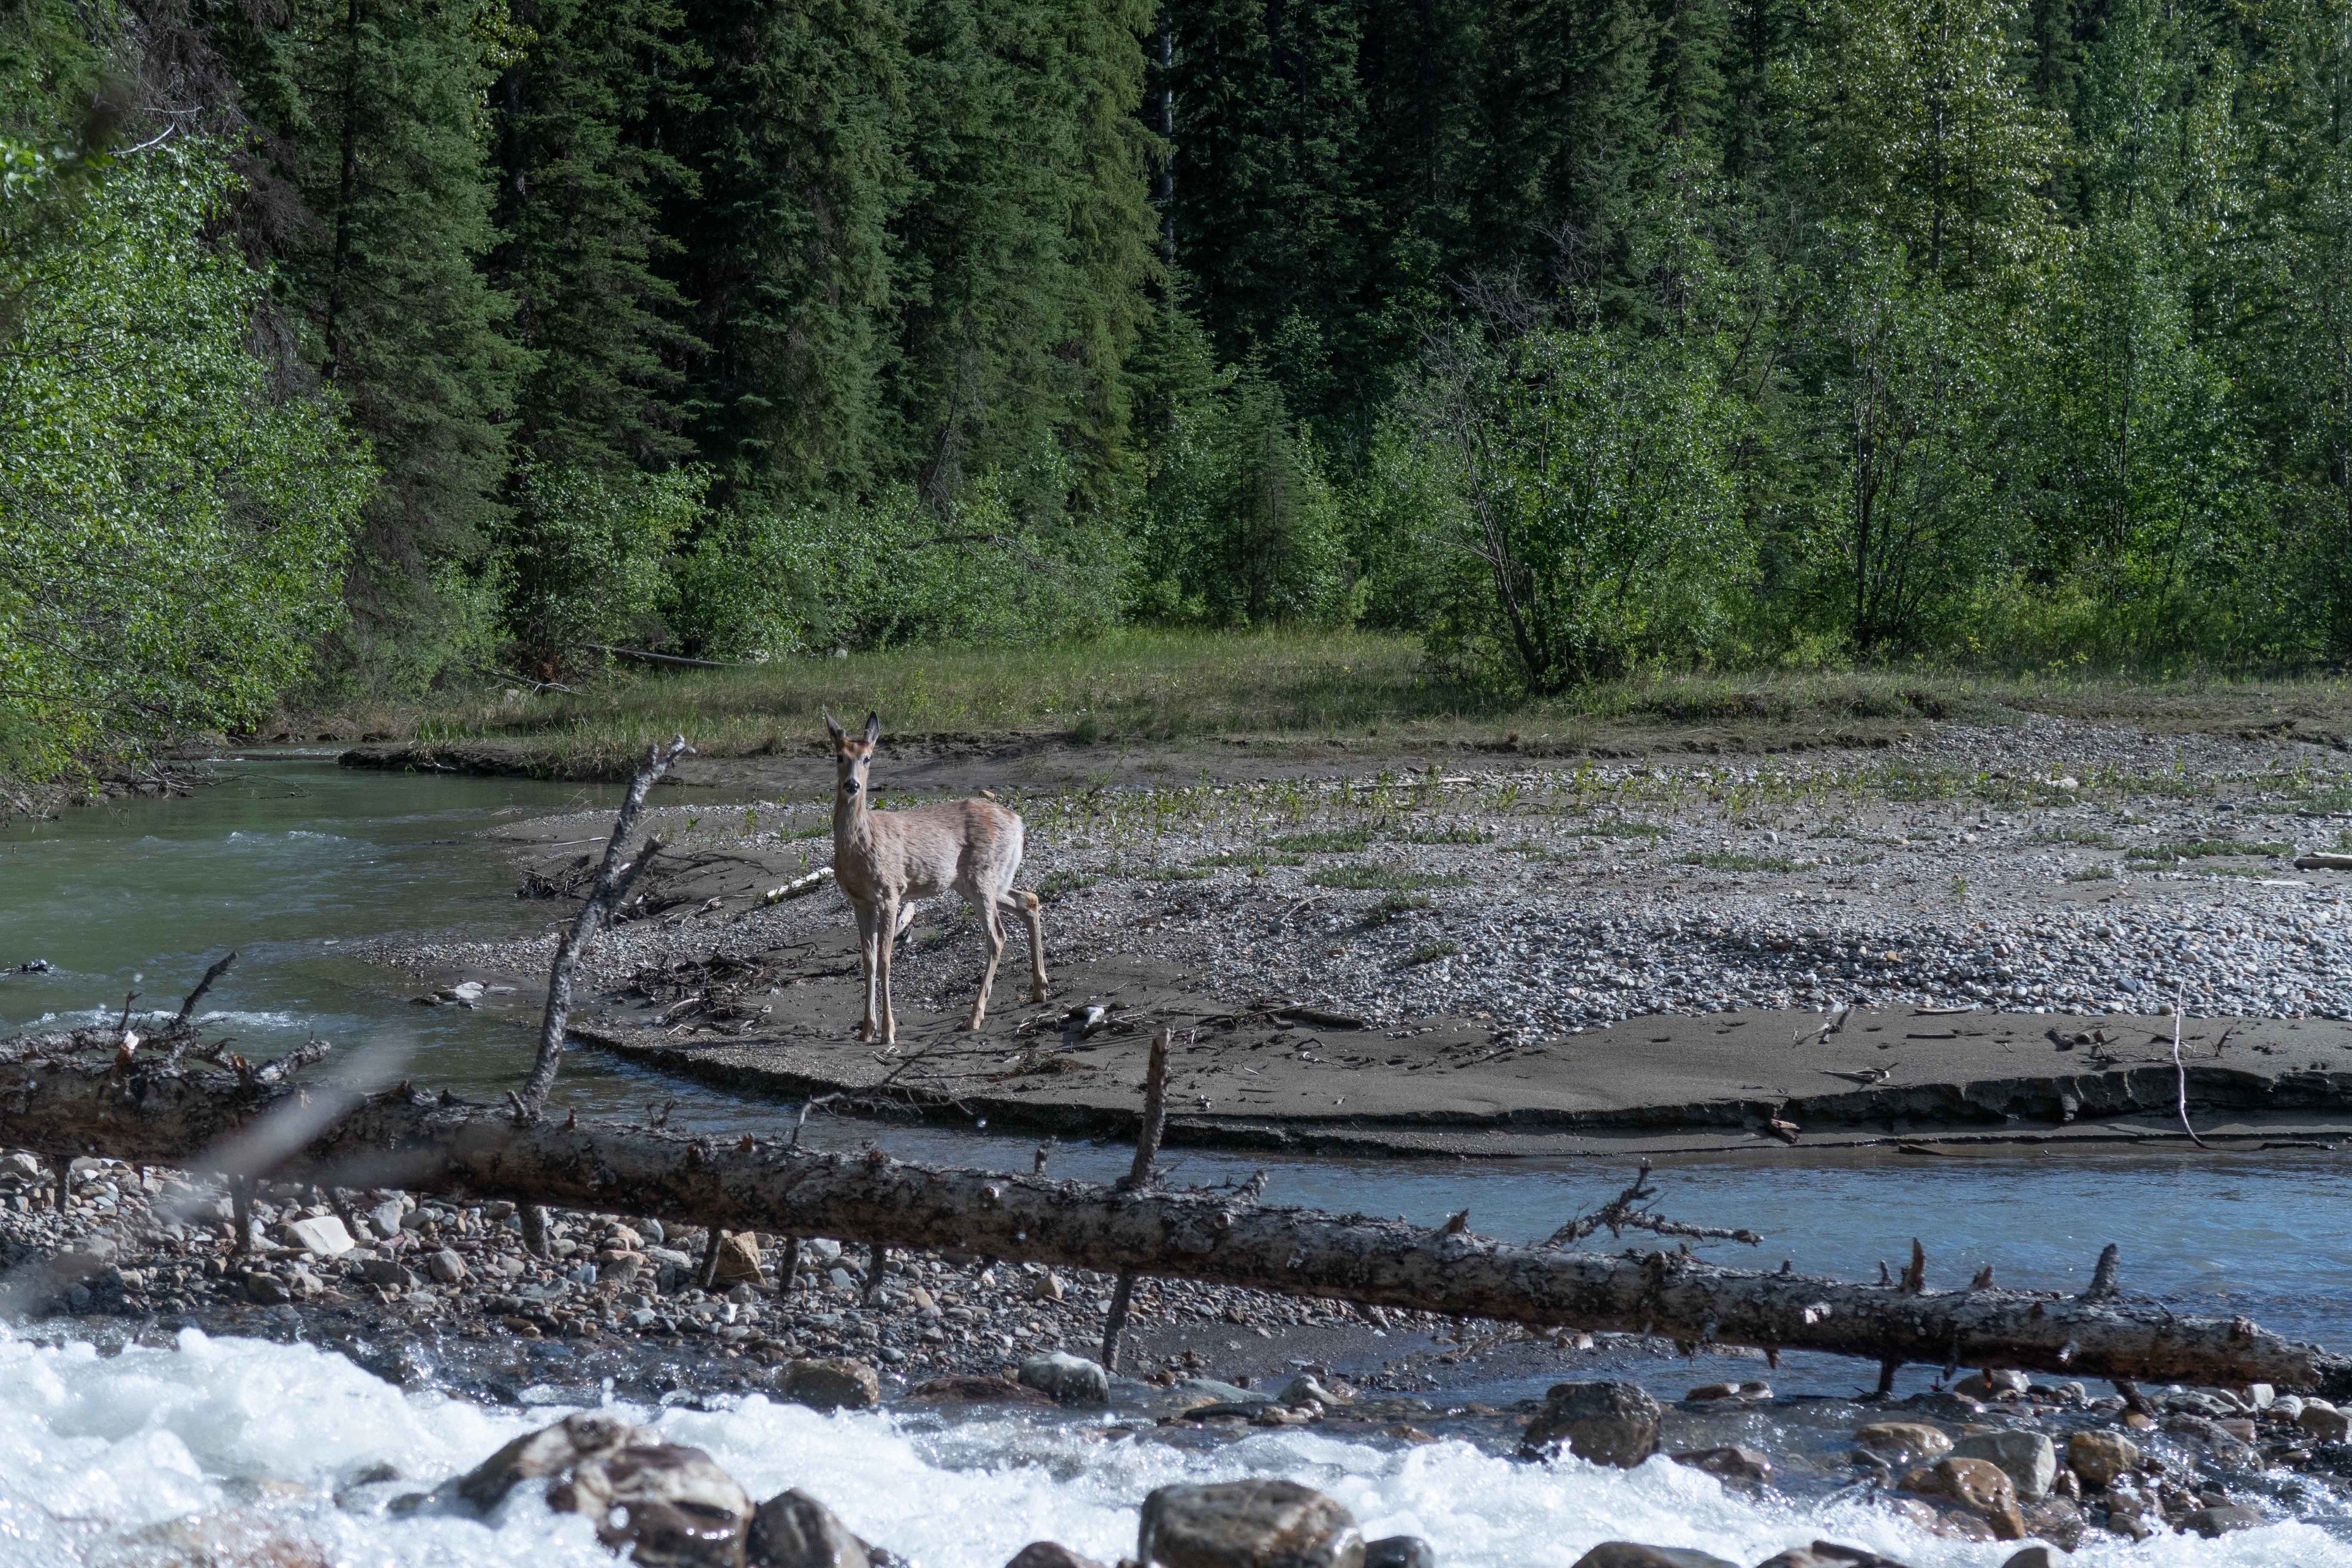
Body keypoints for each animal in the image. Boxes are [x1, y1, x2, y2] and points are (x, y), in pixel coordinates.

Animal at [825, 710, 1047, 1046]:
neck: (862, 843)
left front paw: (888, 1031)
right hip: (980, 881)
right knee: (1029, 900)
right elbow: (868, 959)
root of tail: (1019, 823)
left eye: (868, 758)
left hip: (982, 877)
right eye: (839, 756)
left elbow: (885, 958)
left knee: (997, 936)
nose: (852, 785)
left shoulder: (891, 891)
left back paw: (975, 1017)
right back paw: (1039, 990)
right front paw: (866, 1030)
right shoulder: (860, 900)